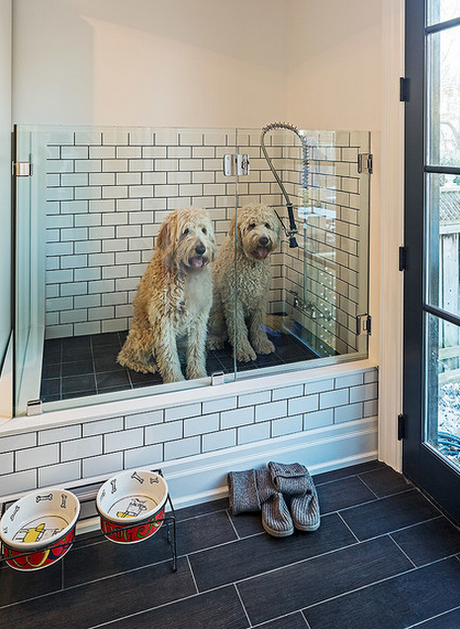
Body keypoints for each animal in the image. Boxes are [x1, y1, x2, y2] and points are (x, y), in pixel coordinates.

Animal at [117, 207, 217, 382]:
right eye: (186, 231)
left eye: (203, 230)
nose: (201, 249)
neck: (187, 274)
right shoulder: (163, 320)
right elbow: (168, 353)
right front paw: (175, 380)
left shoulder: (199, 318)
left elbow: (196, 350)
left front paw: (198, 375)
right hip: (145, 337)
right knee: (125, 357)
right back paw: (144, 365)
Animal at [208, 204, 280, 360]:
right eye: (251, 225)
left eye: (267, 225)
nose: (264, 240)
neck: (251, 263)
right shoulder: (233, 301)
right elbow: (238, 328)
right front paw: (244, 351)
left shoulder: (261, 300)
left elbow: (258, 326)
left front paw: (262, 344)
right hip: (216, 313)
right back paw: (214, 340)